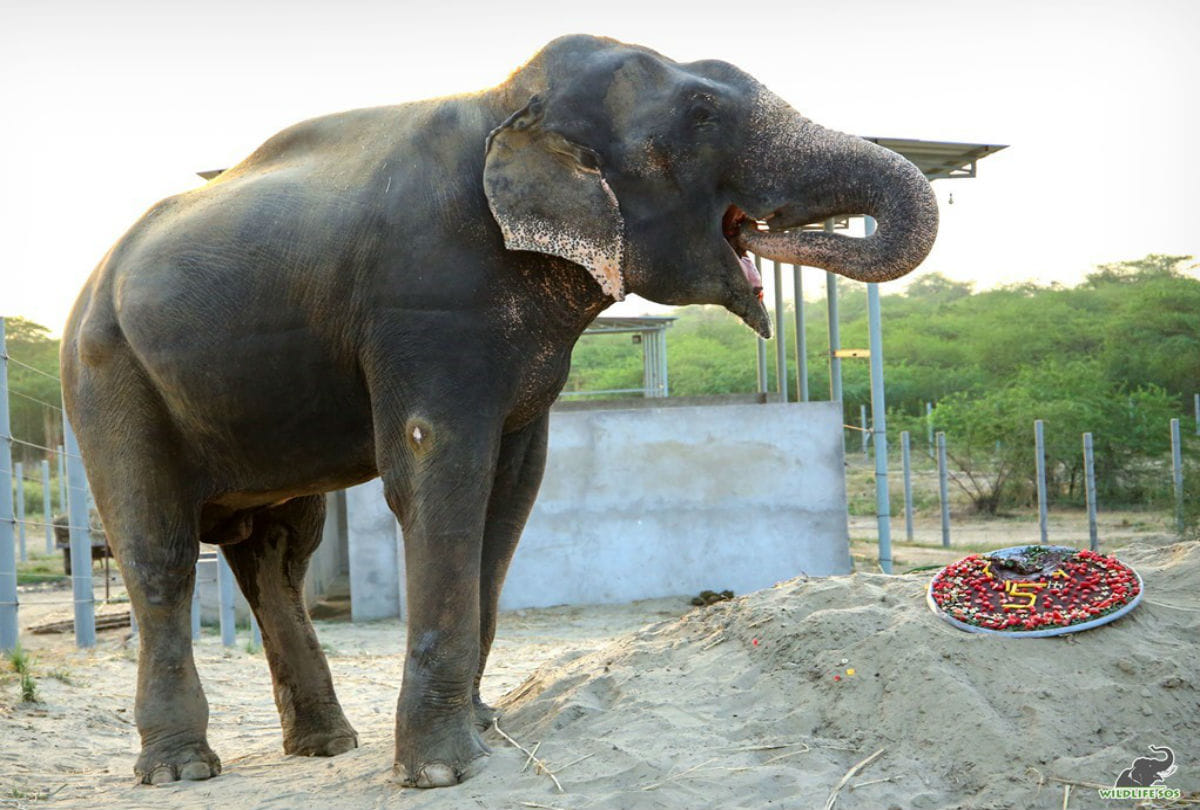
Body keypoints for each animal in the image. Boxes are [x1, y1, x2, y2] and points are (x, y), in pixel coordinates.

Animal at [60, 34, 937, 788]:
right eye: (701, 115)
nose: (777, 238)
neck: (509, 105)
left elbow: (511, 491)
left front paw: (481, 731)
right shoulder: (425, 300)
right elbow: (438, 472)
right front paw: (441, 772)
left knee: (279, 553)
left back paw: (325, 744)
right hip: (107, 374)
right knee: (160, 548)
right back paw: (182, 768)